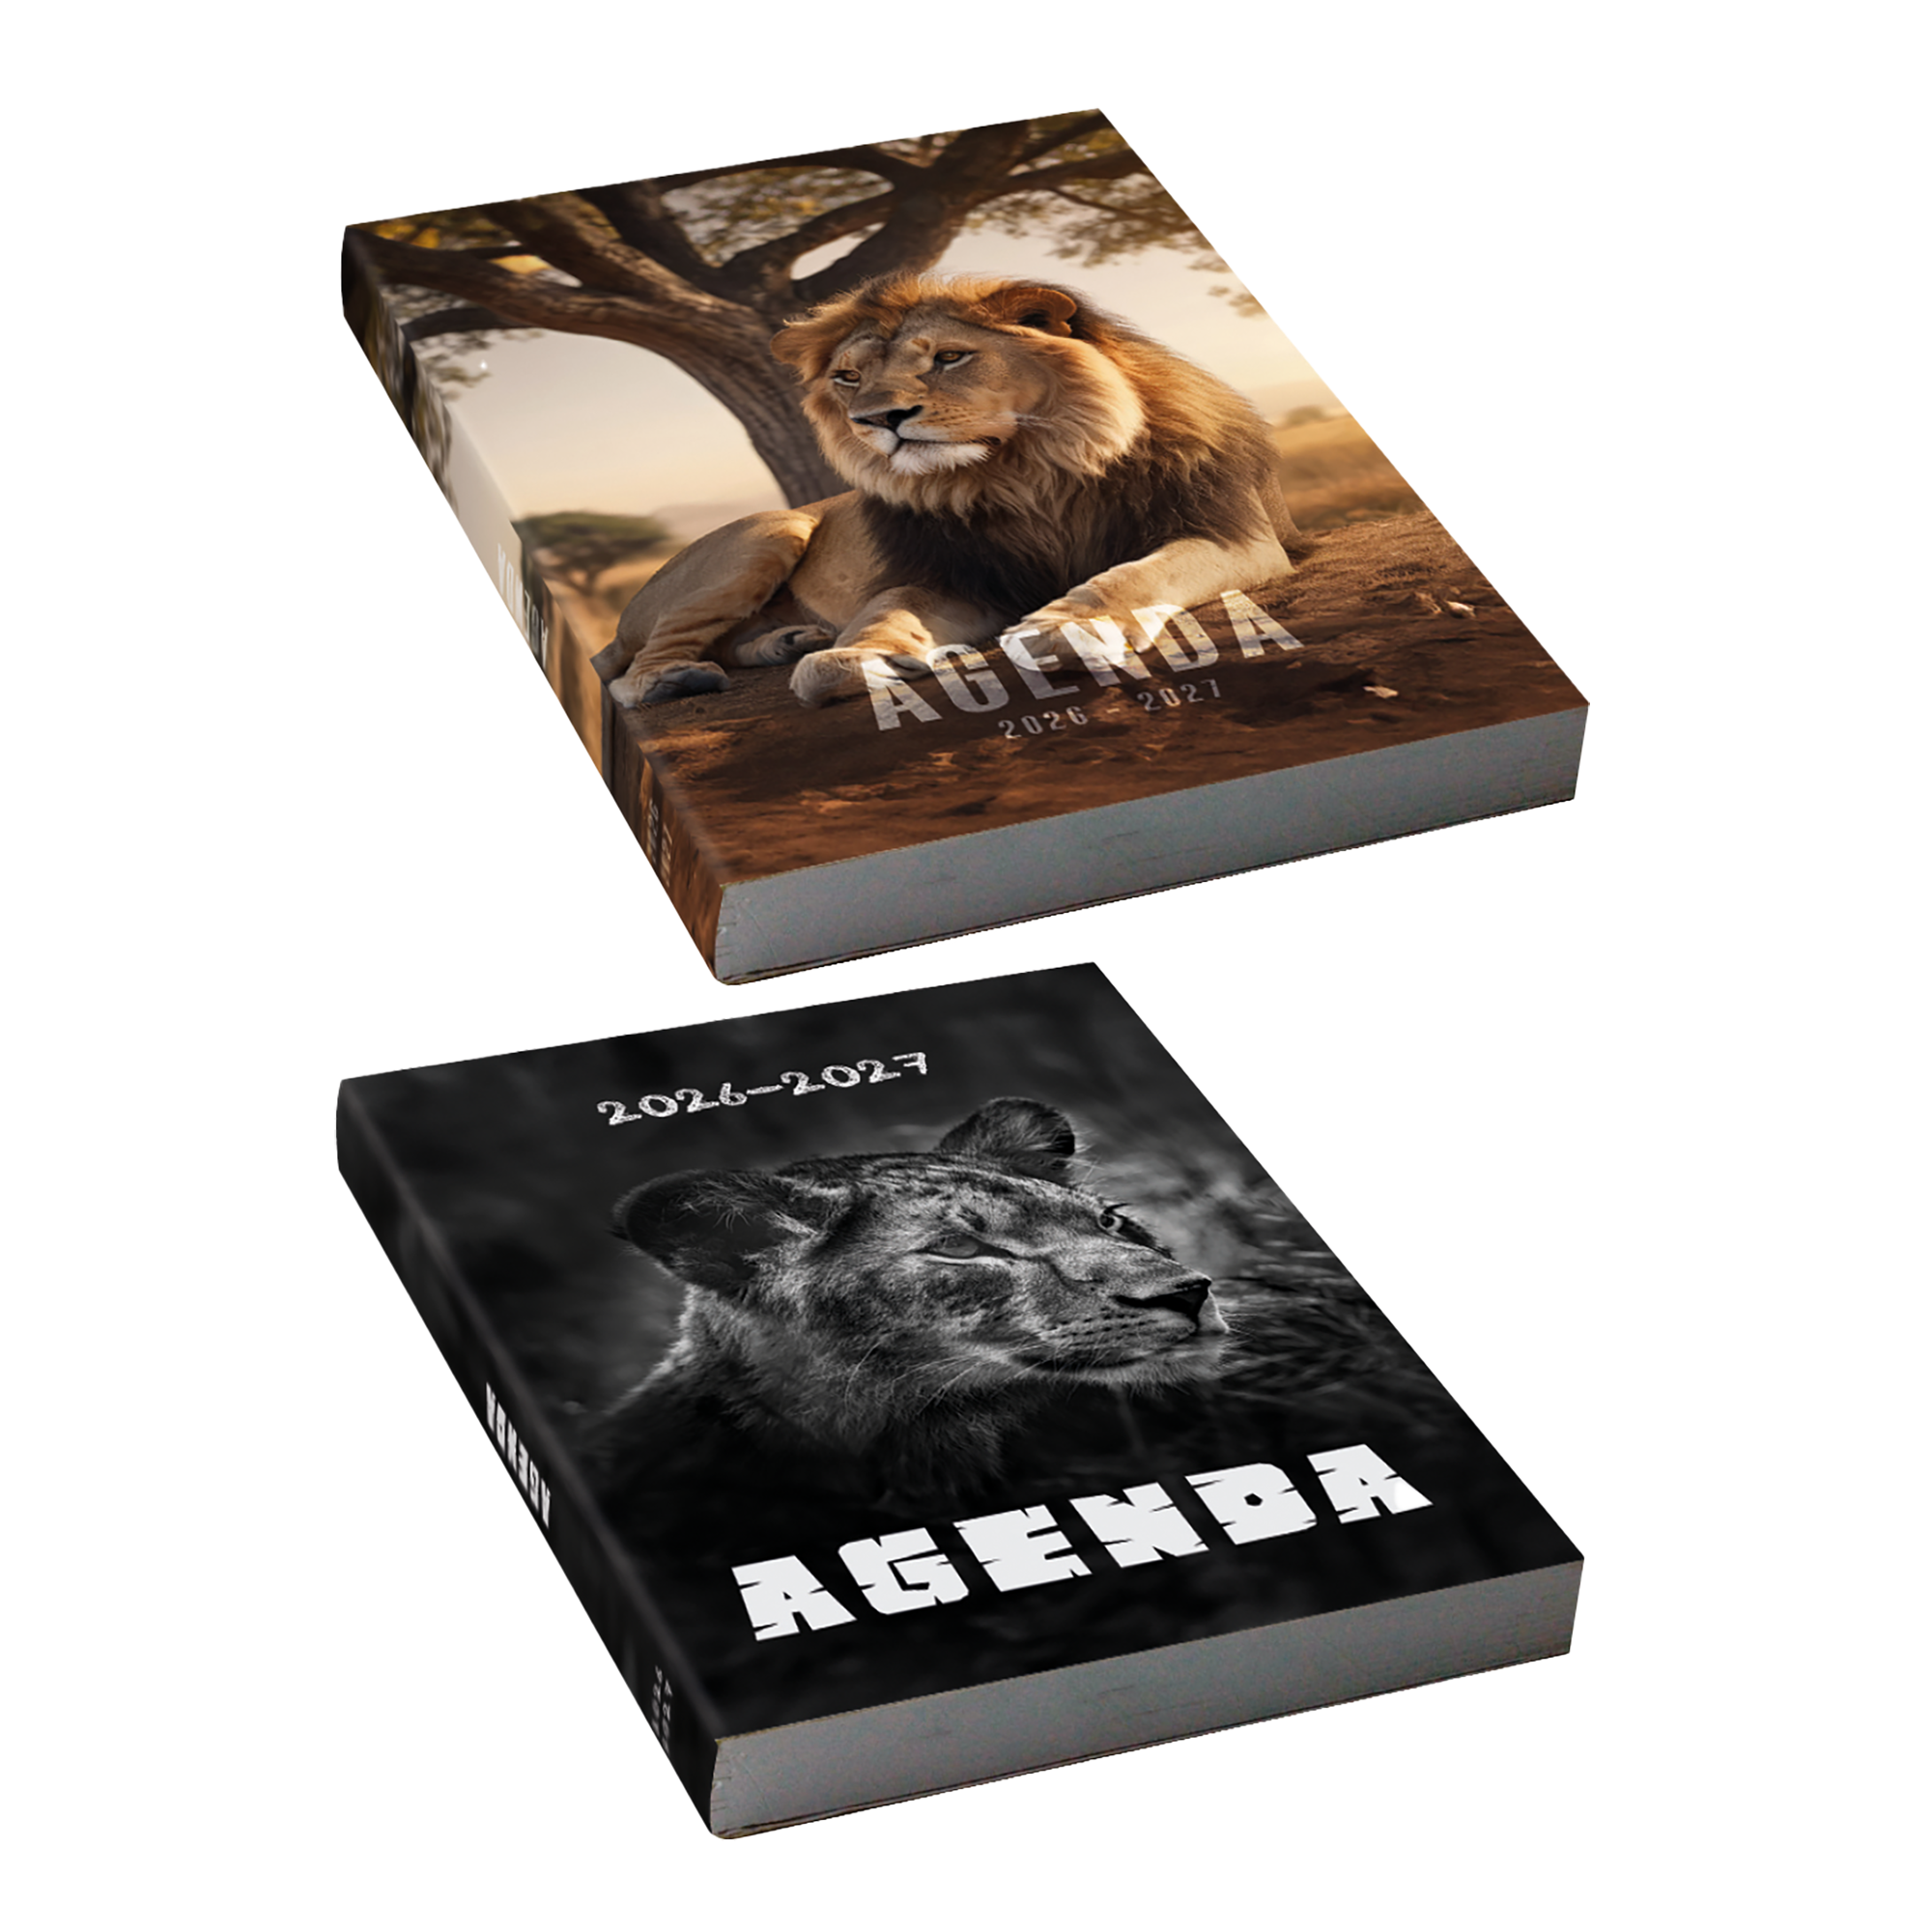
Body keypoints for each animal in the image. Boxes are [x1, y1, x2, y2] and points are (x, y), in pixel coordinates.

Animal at [597, 274, 1301, 710]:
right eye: (848, 377)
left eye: (948, 358)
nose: (877, 419)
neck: (1025, 473)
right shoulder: (955, 579)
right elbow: (884, 617)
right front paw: (859, 656)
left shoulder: (1234, 533)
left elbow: (1134, 576)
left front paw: (1065, 625)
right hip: (772, 528)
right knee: (631, 674)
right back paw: (677, 679)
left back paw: (786, 641)